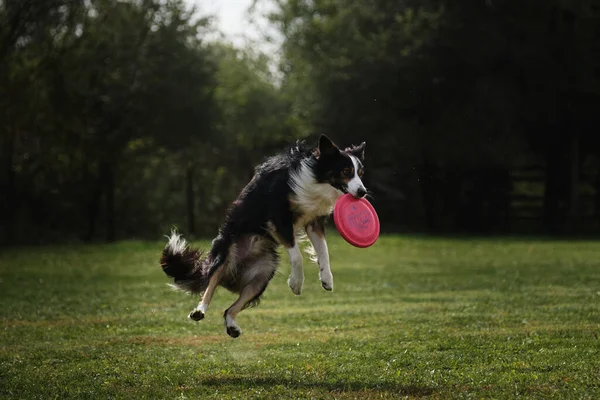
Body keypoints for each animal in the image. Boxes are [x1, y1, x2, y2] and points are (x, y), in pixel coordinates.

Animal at [159, 135, 366, 338]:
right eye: (346, 171)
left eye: (361, 173)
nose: (363, 192)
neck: (315, 178)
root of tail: (232, 277)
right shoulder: (278, 218)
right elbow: (297, 256)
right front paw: (296, 283)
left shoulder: (313, 221)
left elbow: (324, 251)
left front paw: (327, 279)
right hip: (225, 254)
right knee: (209, 287)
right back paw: (199, 310)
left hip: (261, 276)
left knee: (229, 309)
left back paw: (232, 326)